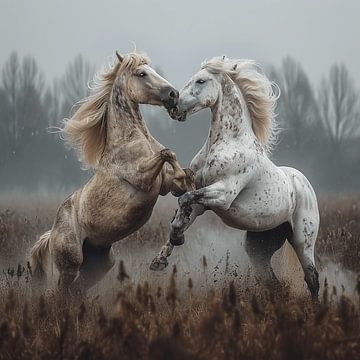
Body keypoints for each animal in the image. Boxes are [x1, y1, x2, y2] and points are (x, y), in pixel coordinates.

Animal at [31, 52, 194, 294]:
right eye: (141, 73)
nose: (174, 95)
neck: (131, 139)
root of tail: (51, 234)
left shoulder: (163, 185)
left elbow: (183, 174)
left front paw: (183, 211)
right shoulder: (143, 179)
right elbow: (168, 153)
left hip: (98, 266)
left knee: (75, 292)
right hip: (70, 265)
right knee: (60, 293)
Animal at [150, 56, 320, 298]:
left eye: (201, 81)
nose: (173, 106)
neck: (229, 142)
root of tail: (305, 185)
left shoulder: (223, 195)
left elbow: (185, 199)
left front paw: (178, 237)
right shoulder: (201, 202)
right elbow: (183, 208)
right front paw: (163, 255)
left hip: (303, 241)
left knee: (312, 279)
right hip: (260, 244)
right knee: (272, 281)